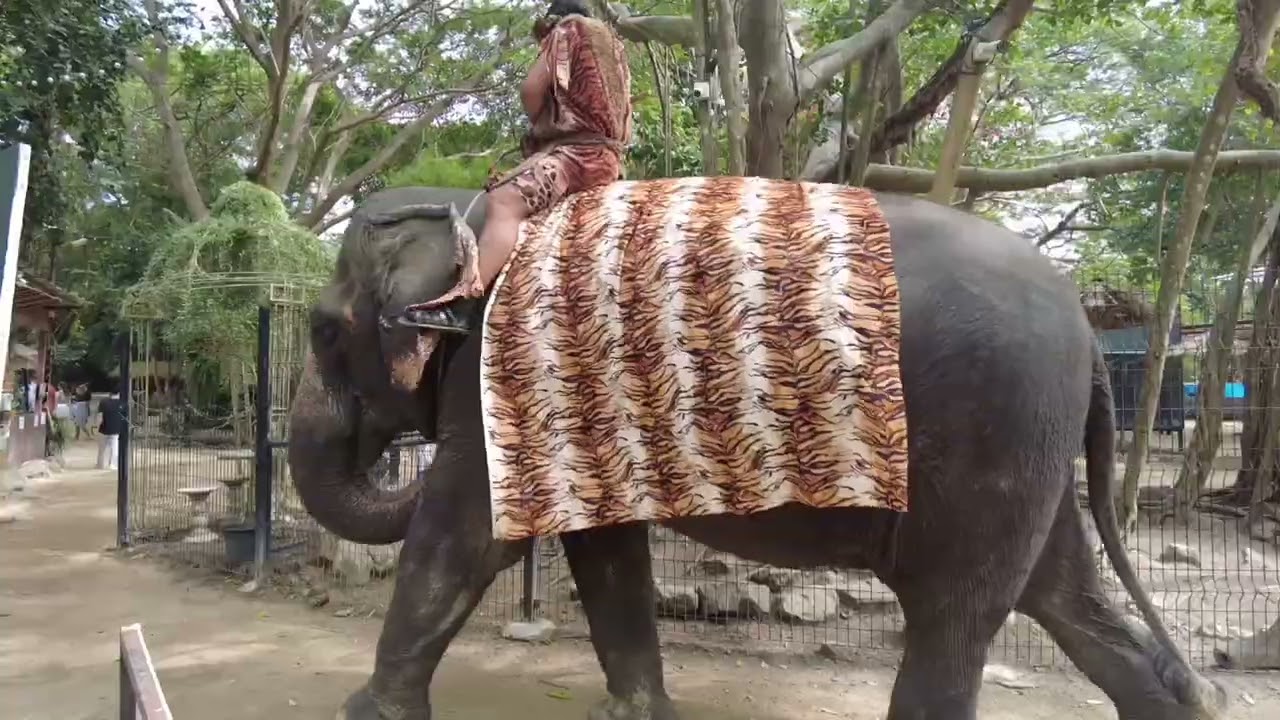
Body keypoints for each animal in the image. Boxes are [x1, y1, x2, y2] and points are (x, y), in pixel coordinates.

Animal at [288, 183, 1228, 720]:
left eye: (322, 331)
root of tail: (1088, 331)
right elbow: (604, 545)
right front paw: (636, 716)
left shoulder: (506, 362)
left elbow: (466, 531)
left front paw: (363, 713)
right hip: (1030, 448)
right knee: (1060, 592)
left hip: (990, 433)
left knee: (955, 613)